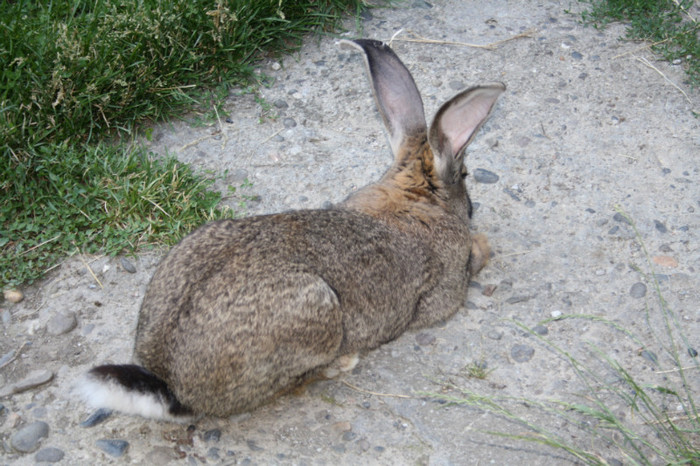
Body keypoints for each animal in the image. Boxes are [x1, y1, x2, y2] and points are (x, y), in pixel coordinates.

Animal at [75, 38, 504, 420]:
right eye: (466, 176)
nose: (473, 210)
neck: (414, 197)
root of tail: (169, 387)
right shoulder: (446, 290)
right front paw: (483, 245)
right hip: (318, 314)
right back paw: (341, 363)